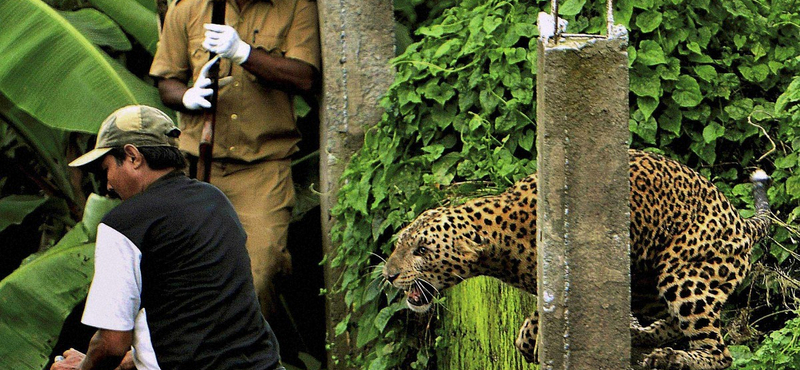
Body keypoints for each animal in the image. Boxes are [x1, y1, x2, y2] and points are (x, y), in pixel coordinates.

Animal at [384, 150, 772, 370]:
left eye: (422, 251)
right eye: (400, 244)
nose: (388, 275)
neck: (500, 239)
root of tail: (743, 222)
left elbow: (544, 314)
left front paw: (534, 339)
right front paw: (528, 340)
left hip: (682, 275)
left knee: (719, 354)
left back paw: (673, 359)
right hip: (646, 281)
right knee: (672, 323)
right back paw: (641, 336)